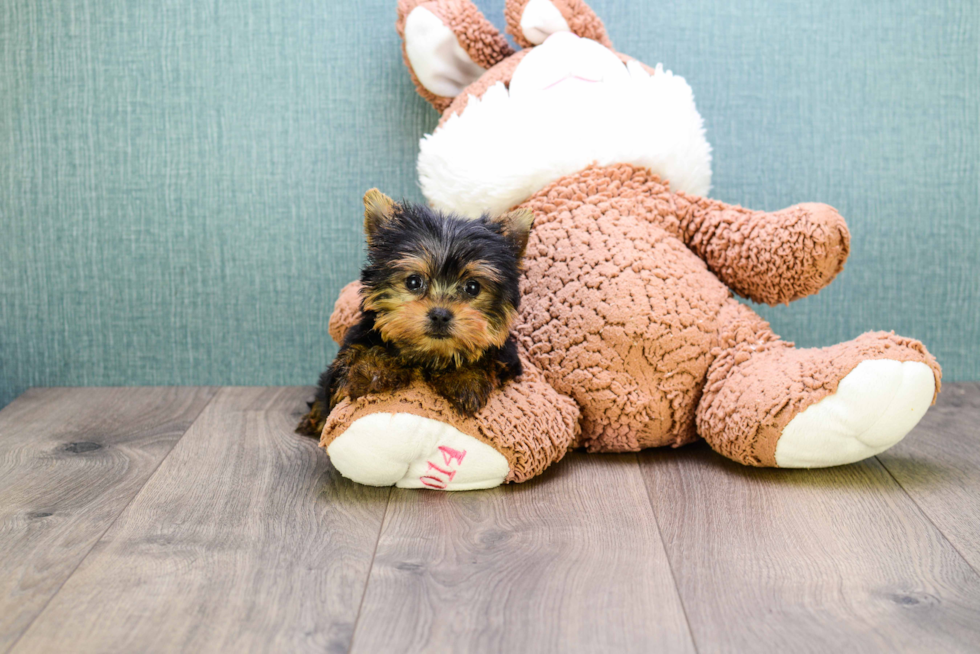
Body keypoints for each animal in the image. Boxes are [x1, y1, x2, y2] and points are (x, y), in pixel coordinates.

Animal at [294, 188, 532, 436]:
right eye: (413, 281)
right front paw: (373, 368)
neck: (428, 355)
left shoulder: (508, 361)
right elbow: (354, 364)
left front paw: (465, 376)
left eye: (473, 287)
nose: (440, 314)